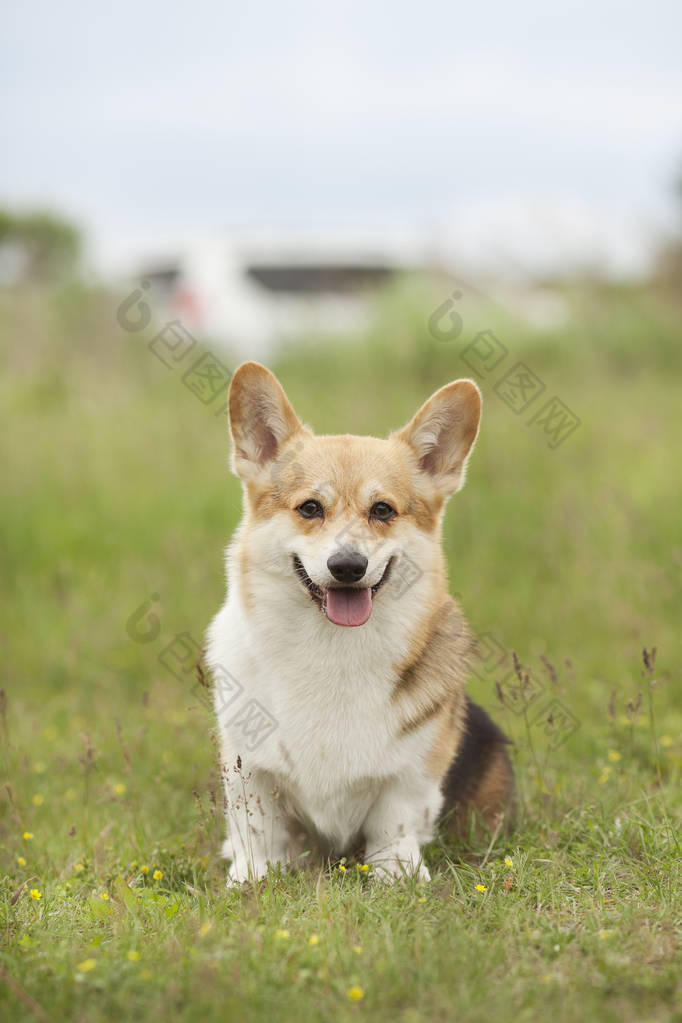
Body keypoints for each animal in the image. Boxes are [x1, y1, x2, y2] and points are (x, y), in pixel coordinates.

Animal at [205, 364, 515, 883]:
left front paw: (398, 878)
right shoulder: (249, 768)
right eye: (310, 508)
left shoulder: (412, 773)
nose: (348, 566)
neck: (331, 647)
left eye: (382, 510)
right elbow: (258, 830)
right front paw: (252, 879)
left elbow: (396, 823)